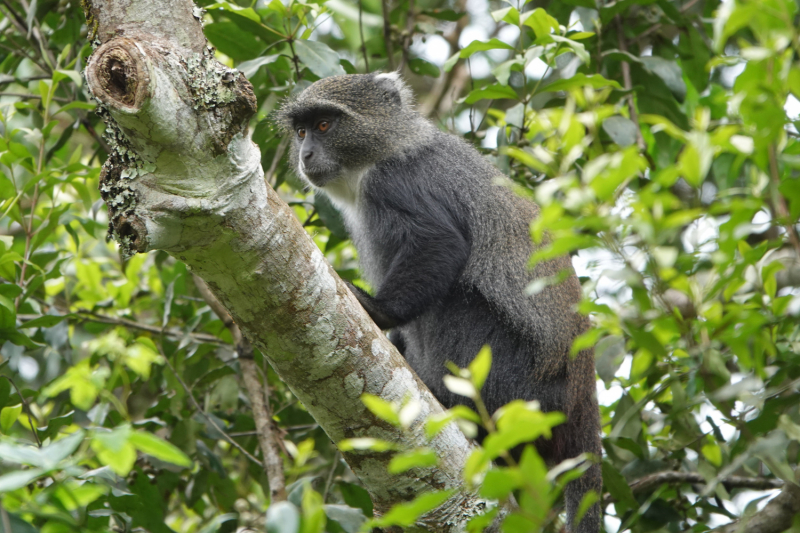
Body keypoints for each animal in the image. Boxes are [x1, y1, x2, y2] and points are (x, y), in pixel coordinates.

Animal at [278, 71, 596, 532]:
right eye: (301, 131)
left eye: (324, 125)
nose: (305, 154)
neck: (389, 147)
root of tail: (581, 396)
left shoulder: (394, 183)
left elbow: (440, 244)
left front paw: (378, 310)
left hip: (516, 384)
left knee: (455, 303)